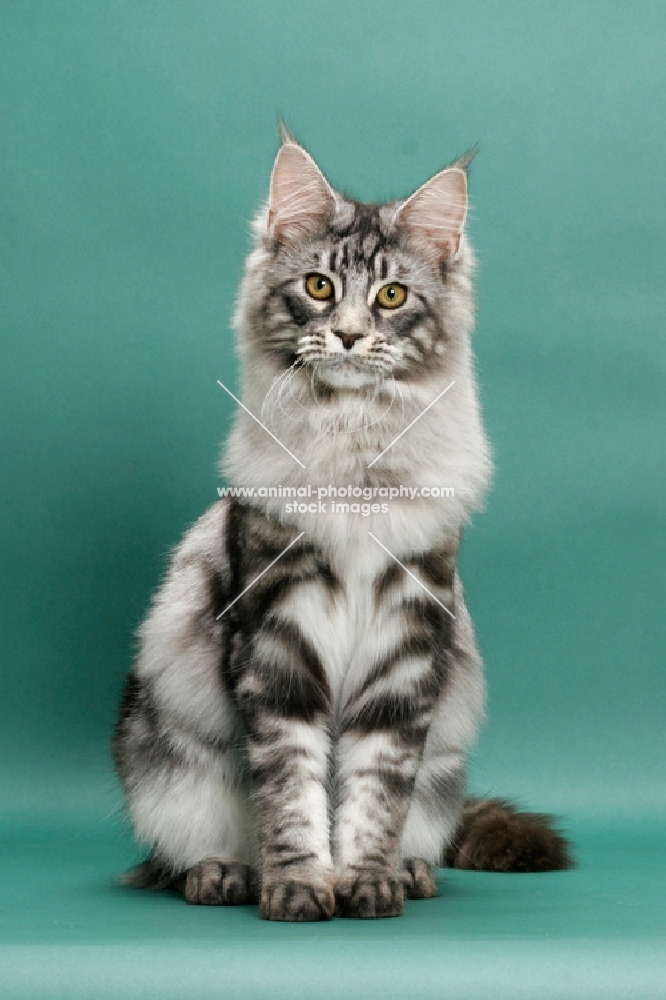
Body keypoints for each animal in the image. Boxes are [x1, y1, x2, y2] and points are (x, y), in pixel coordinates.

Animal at [111, 125, 568, 920]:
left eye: (392, 296)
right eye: (319, 287)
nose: (351, 336)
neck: (353, 453)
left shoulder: (407, 643)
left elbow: (375, 792)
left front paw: (368, 881)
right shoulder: (277, 642)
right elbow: (292, 791)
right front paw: (298, 886)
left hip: (443, 765)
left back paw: (412, 872)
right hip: (167, 752)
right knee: (177, 854)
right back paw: (223, 874)